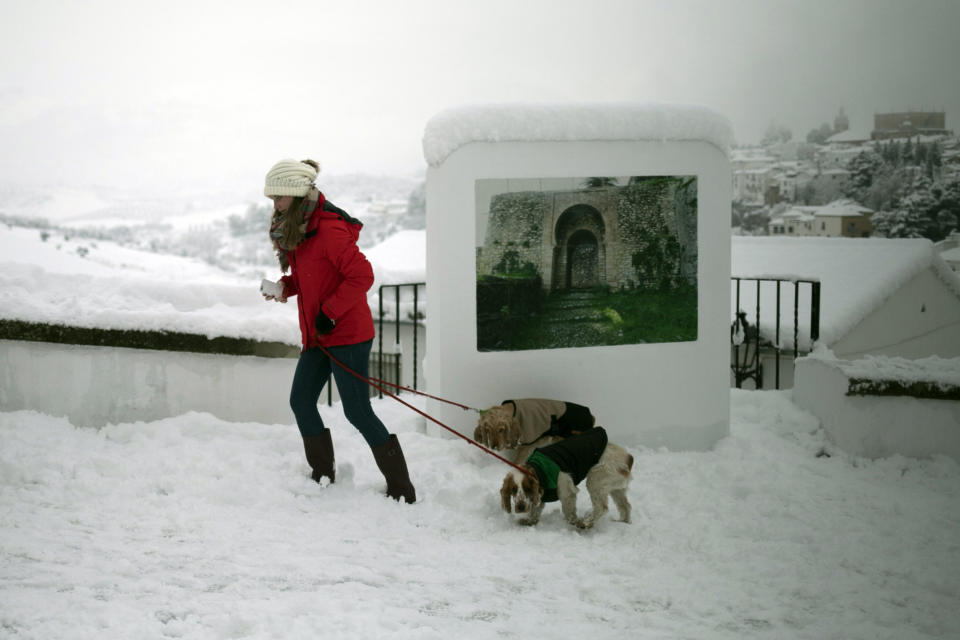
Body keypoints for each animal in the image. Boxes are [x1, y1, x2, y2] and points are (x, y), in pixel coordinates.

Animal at [498, 424, 632, 528]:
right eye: (513, 490)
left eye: (527, 489)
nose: (520, 507)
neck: (539, 468)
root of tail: (628, 457)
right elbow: (535, 510)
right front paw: (529, 521)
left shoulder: (566, 491)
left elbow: (569, 512)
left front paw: (573, 522)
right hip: (615, 488)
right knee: (625, 506)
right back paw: (623, 523)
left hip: (595, 479)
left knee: (602, 507)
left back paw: (586, 523)